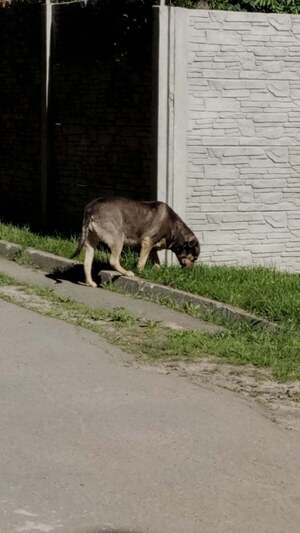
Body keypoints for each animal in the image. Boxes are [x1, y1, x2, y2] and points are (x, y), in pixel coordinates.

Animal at [71, 195, 200, 286]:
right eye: (193, 259)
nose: (191, 272)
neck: (176, 231)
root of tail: (91, 208)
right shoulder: (147, 242)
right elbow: (142, 262)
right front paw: (141, 272)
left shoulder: (152, 248)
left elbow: (157, 263)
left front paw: (156, 271)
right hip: (118, 237)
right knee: (113, 260)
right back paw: (127, 272)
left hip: (91, 240)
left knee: (87, 262)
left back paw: (90, 282)